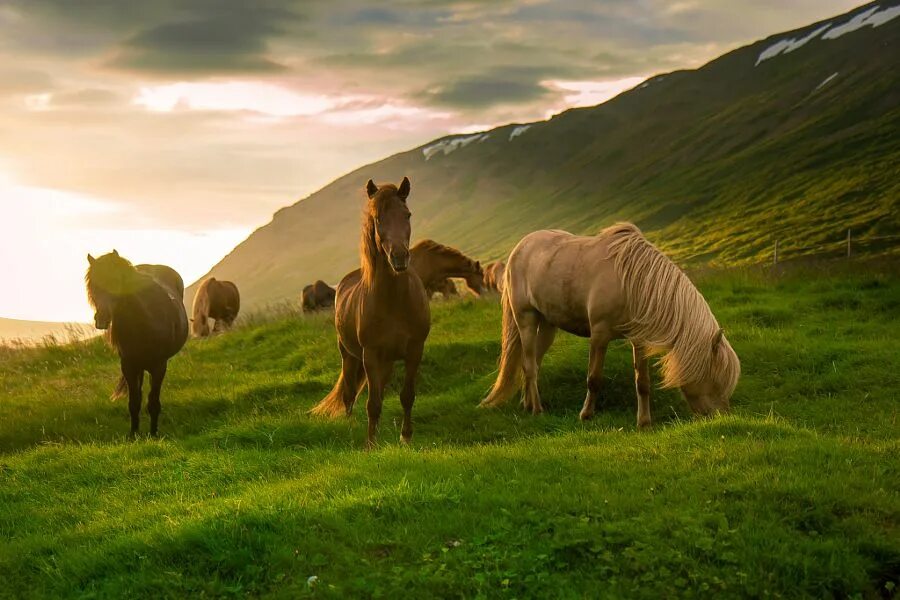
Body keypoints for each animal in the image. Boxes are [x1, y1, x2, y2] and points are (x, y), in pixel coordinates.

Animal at [86, 248, 190, 436]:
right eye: (93, 286)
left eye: (114, 281)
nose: (101, 319)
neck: (145, 321)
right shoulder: (129, 366)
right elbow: (134, 403)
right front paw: (133, 434)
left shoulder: (159, 367)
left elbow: (153, 403)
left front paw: (153, 434)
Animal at [310, 176, 432, 448]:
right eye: (378, 219)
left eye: (407, 215)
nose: (399, 257)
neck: (395, 302)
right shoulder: (371, 356)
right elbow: (372, 403)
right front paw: (371, 444)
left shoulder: (414, 351)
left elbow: (407, 395)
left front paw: (406, 437)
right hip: (349, 355)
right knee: (348, 394)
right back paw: (350, 426)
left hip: (385, 362)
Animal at [482, 224, 740, 426]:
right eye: (716, 379)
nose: (721, 417)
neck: (633, 282)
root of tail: (520, 247)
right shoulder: (599, 335)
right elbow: (594, 379)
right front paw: (586, 414)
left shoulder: (640, 340)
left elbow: (642, 382)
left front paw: (644, 422)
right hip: (526, 318)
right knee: (529, 365)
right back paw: (537, 409)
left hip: (548, 325)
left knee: (533, 361)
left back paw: (527, 404)